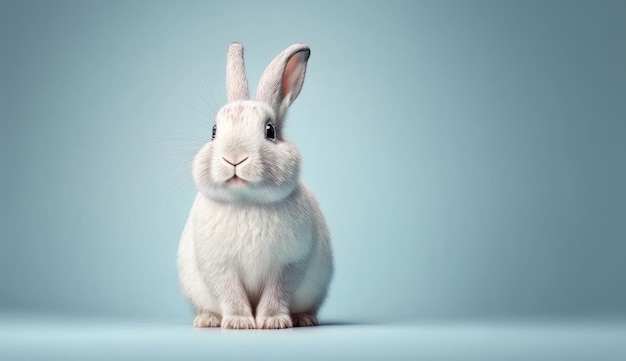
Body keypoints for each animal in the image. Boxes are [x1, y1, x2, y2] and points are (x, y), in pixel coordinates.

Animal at [176, 43, 332, 330]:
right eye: (214, 131)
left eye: (270, 130)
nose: (234, 157)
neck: (246, 201)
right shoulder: (219, 265)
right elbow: (230, 292)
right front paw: (239, 322)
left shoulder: (288, 264)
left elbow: (276, 292)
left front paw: (272, 322)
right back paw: (208, 319)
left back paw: (304, 319)